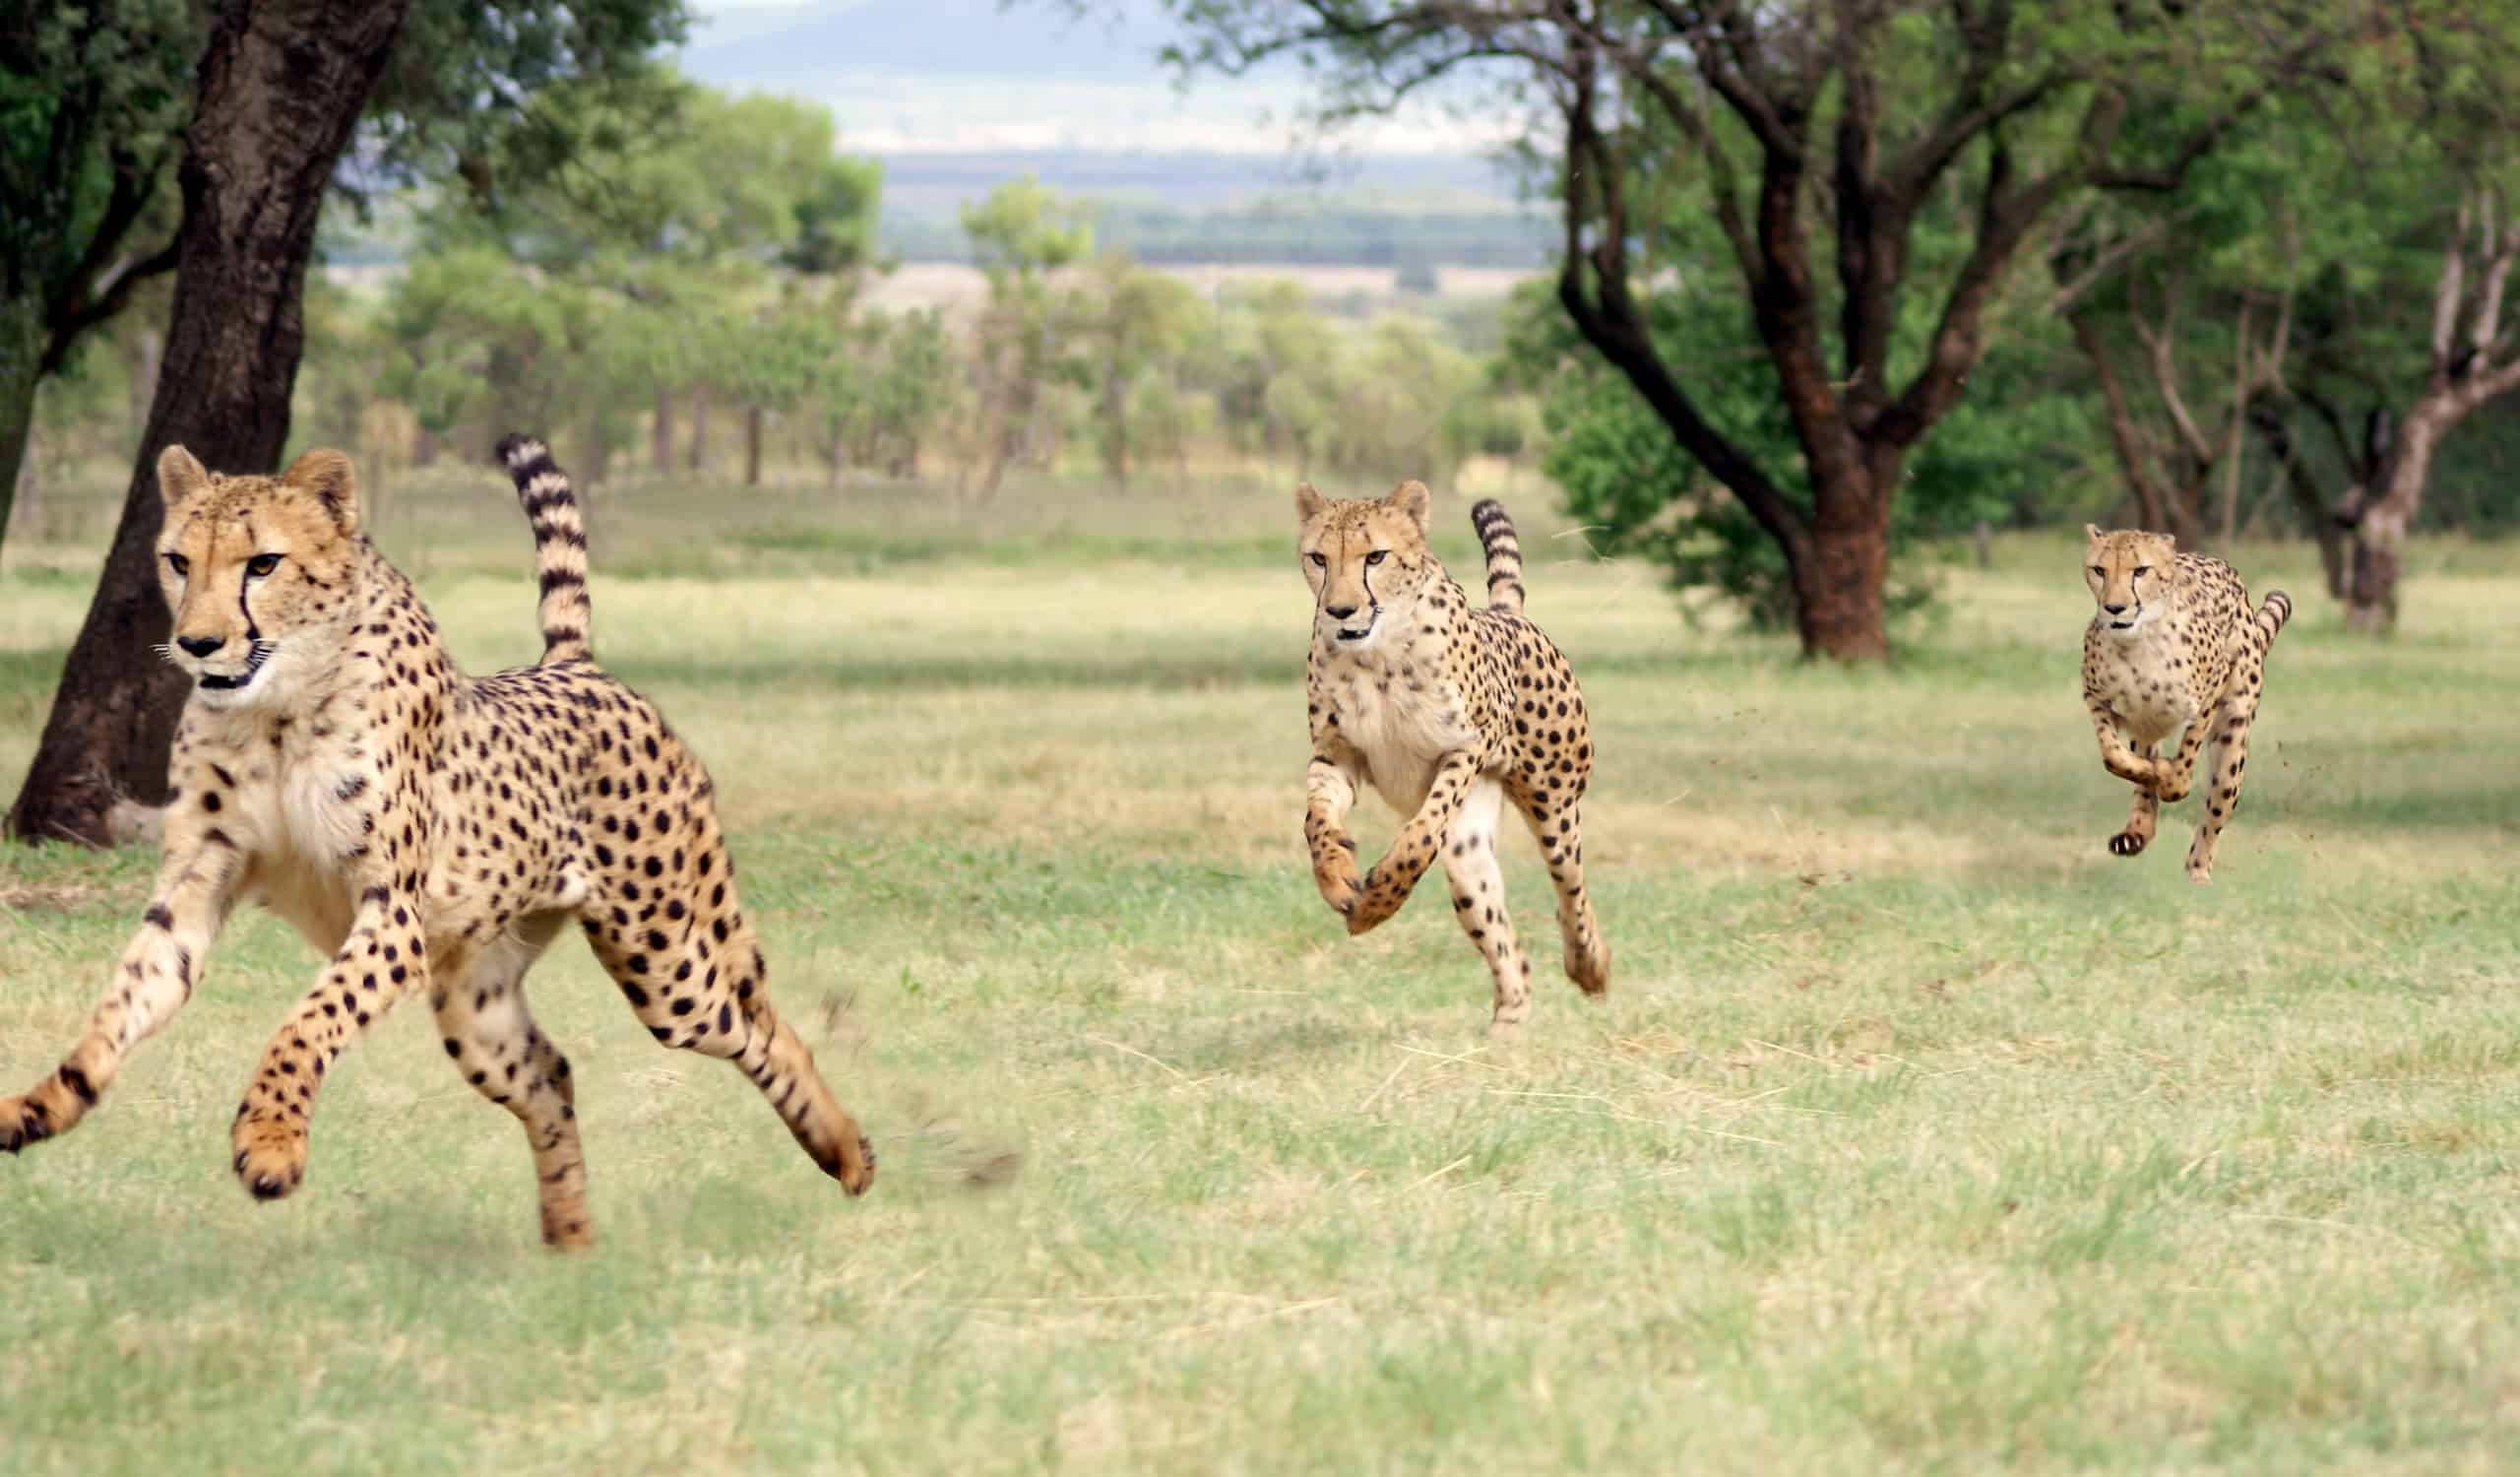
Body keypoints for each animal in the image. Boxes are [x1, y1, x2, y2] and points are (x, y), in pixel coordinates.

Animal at [0, 430, 876, 1235]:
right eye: (180, 561)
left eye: (263, 564)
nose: (198, 642)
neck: (277, 705)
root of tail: (575, 666)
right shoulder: (197, 883)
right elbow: (124, 1000)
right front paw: (42, 1103)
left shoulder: (392, 916)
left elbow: (304, 1022)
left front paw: (271, 1140)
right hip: (476, 1001)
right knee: (552, 1075)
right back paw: (569, 1244)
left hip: (667, 961)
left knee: (760, 1023)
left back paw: (846, 1152)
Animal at [1299, 479, 1612, 1023]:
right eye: (1318, 558)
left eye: (1376, 556)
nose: (1339, 611)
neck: (1375, 655)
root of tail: (1508, 615)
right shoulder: (1338, 754)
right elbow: (1316, 821)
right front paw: (1337, 876)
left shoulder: (1468, 744)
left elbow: (1422, 833)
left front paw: (1378, 901)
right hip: (1470, 855)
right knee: (1503, 936)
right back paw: (1507, 1021)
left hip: (1555, 806)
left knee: (1571, 890)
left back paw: (1590, 965)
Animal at [2076, 524, 2298, 881]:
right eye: (2099, 570)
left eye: (2140, 571)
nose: (2114, 608)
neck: (2137, 642)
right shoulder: (2097, 699)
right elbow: (2114, 756)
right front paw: (2156, 773)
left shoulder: (2210, 691)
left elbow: (2187, 753)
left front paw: (2172, 781)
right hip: (2146, 730)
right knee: (2142, 778)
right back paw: (2136, 831)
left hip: (2232, 741)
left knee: (2217, 806)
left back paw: (2198, 871)